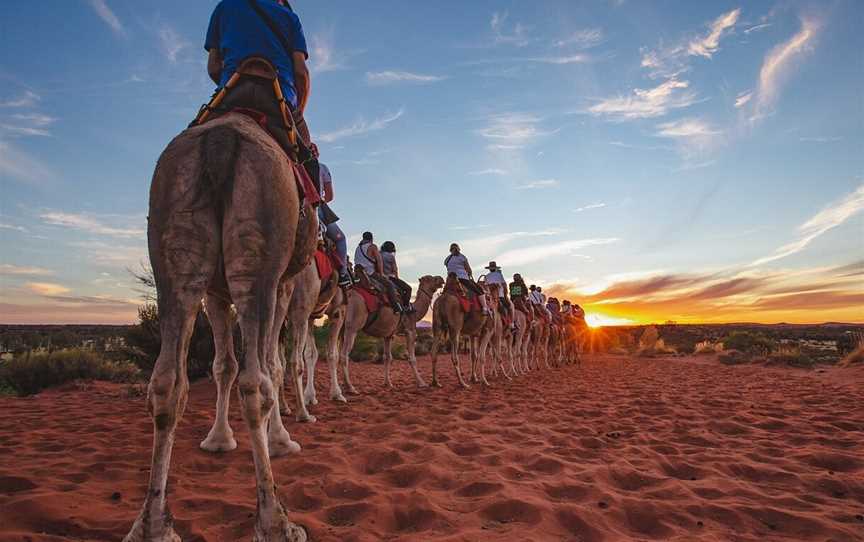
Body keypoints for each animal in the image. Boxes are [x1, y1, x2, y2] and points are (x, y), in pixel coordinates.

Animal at [125, 112, 318, 540]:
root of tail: (221, 141)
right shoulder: (283, 284)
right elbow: (273, 366)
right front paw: (281, 441)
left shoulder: (214, 292)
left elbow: (222, 365)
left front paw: (218, 440)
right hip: (259, 251)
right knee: (256, 382)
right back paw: (275, 521)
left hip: (176, 240)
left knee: (167, 383)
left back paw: (153, 525)